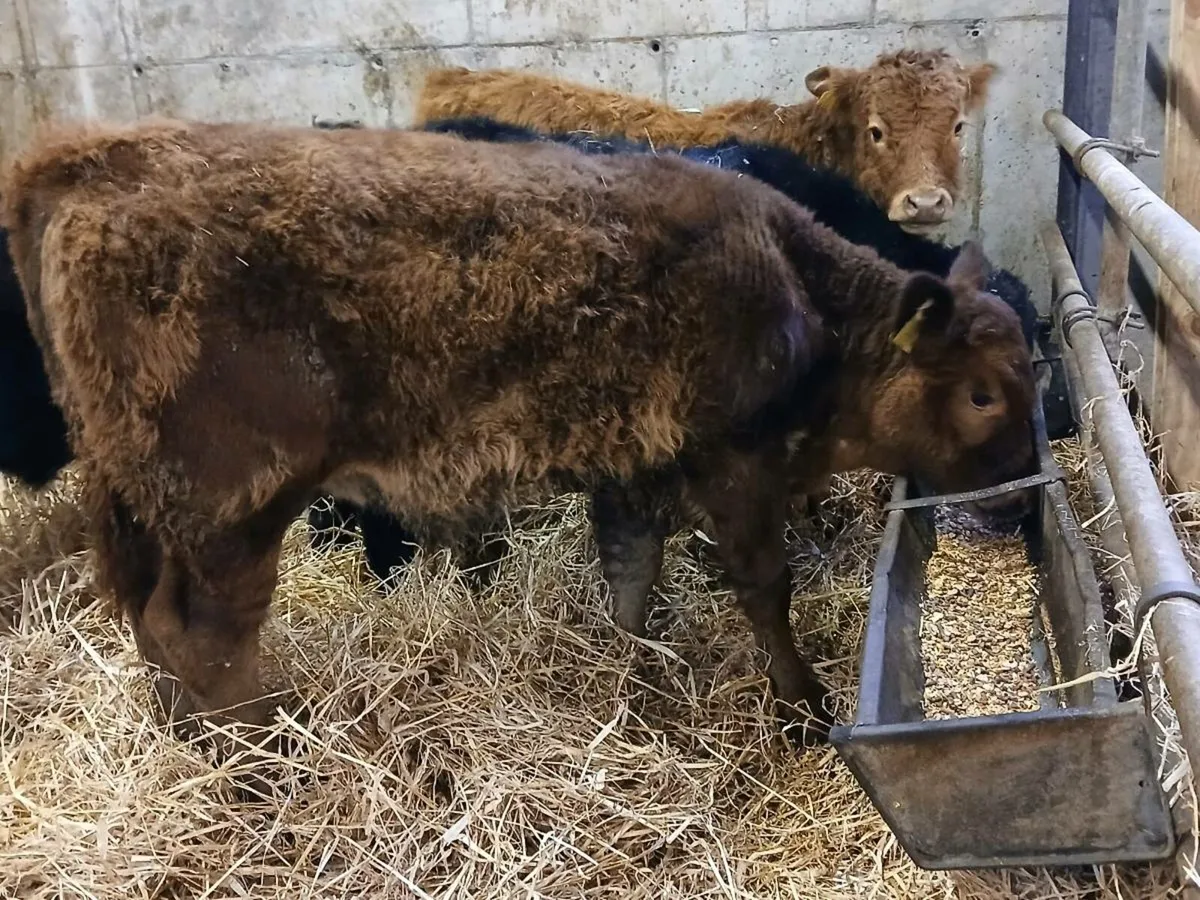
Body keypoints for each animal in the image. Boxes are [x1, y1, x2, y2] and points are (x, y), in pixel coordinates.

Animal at [2, 118, 1036, 758]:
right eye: (984, 394)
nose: (1027, 484)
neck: (793, 285)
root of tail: (85, 158)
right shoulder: (732, 460)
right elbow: (762, 587)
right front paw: (801, 709)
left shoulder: (637, 466)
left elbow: (629, 577)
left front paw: (631, 681)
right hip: (229, 511)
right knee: (199, 635)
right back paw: (263, 755)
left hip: (155, 510)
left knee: (154, 628)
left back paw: (199, 741)